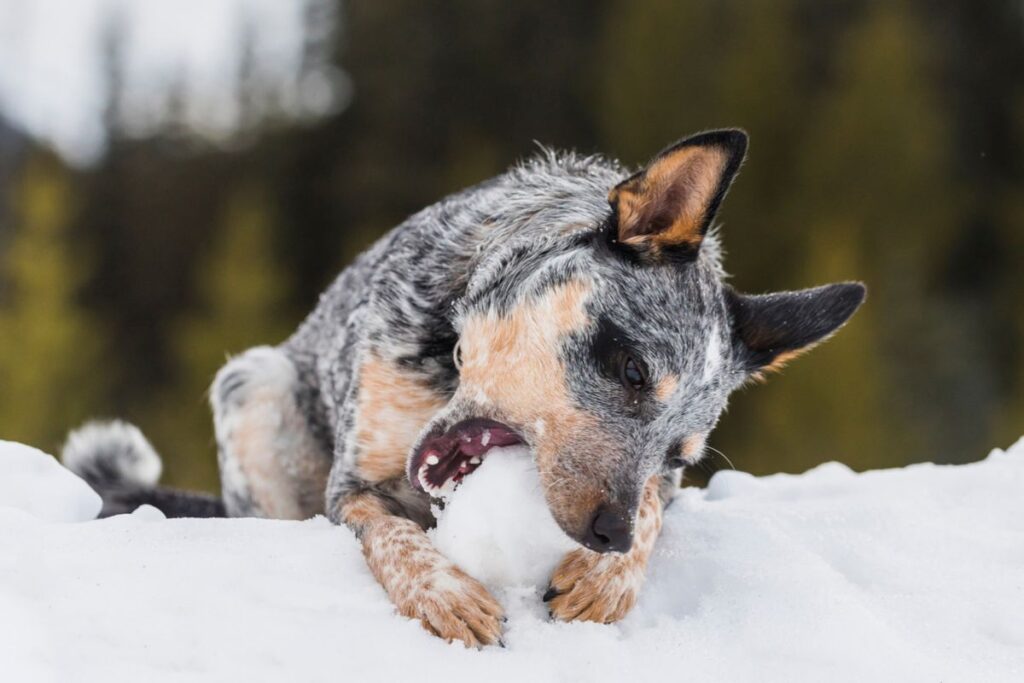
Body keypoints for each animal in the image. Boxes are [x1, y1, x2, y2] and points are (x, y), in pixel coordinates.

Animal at [61, 131, 864, 651]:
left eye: (681, 455)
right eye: (633, 370)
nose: (608, 533)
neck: (449, 350)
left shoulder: (660, 491)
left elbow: (657, 512)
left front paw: (608, 577)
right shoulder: (355, 483)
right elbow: (394, 537)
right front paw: (445, 594)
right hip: (253, 383)